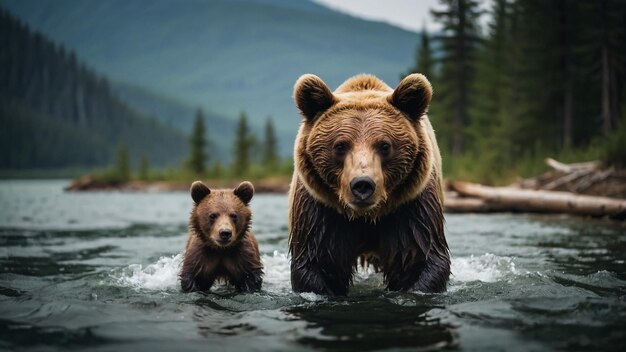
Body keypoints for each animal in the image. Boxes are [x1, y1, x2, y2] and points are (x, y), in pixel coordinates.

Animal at [288, 73, 448, 296]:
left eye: (385, 145)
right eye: (340, 145)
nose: (362, 185)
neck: (366, 217)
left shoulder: (411, 206)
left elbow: (418, 258)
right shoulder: (320, 209)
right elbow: (318, 261)